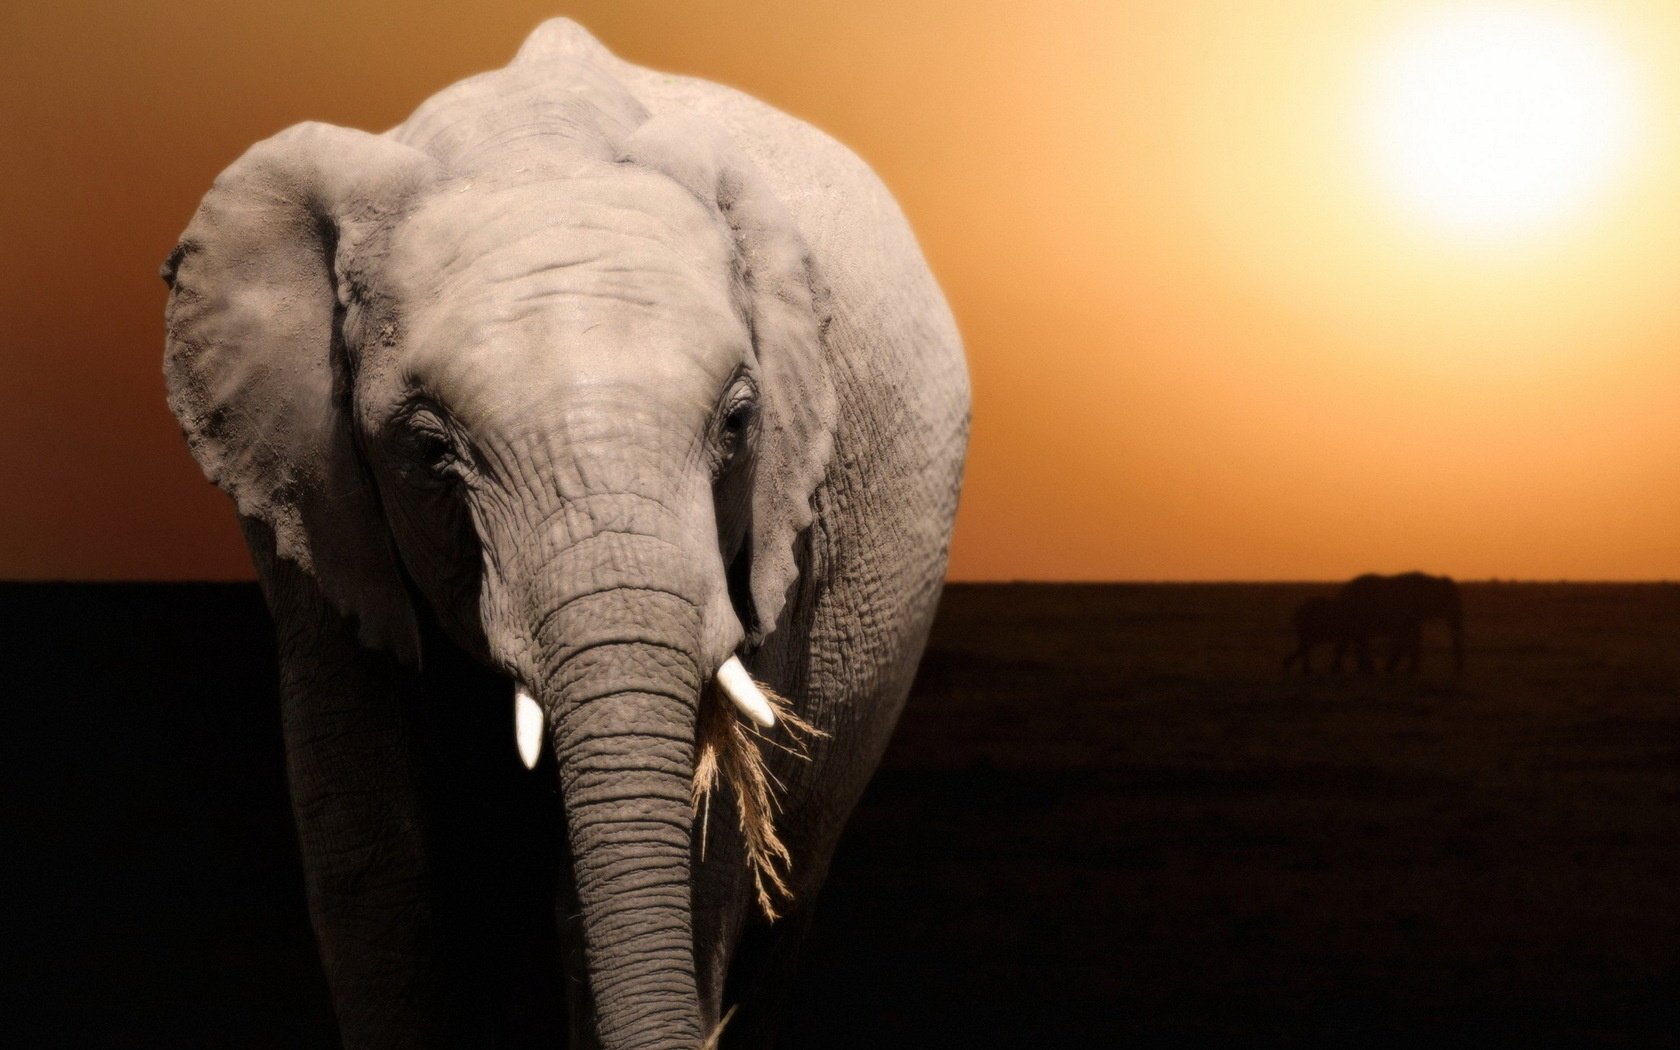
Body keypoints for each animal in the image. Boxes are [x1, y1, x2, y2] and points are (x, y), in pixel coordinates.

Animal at [160, 19, 968, 1050]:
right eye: (430, 449)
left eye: (741, 421)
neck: (528, 139)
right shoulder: (307, 494)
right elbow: (370, 856)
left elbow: (688, 865)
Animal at [1283, 573, 1465, 675]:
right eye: (1449, 602)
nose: (1458, 672)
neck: (1431, 581)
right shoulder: (1403, 611)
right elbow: (1404, 638)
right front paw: (1392, 669)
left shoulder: (1412, 614)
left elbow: (1412, 636)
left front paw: (1411, 671)